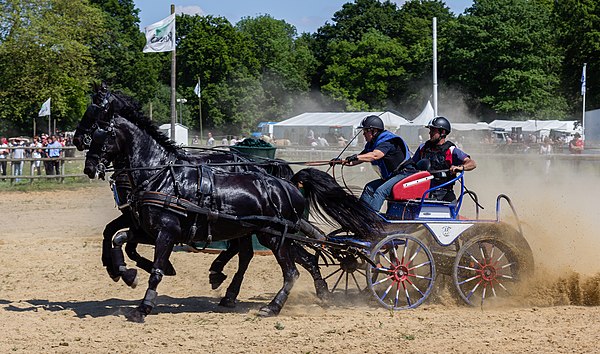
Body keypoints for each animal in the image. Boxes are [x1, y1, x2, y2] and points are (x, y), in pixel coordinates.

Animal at [81, 101, 380, 320]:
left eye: (103, 133)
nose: (88, 167)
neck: (159, 175)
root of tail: (289, 185)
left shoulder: (166, 231)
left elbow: (154, 269)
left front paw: (143, 307)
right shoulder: (147, 229)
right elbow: (119, 239)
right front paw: (125, 273)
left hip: (273, 236)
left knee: (290, 270)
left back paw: (271, 306)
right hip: (269, 234)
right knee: (300, 260)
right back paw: (318, 294)